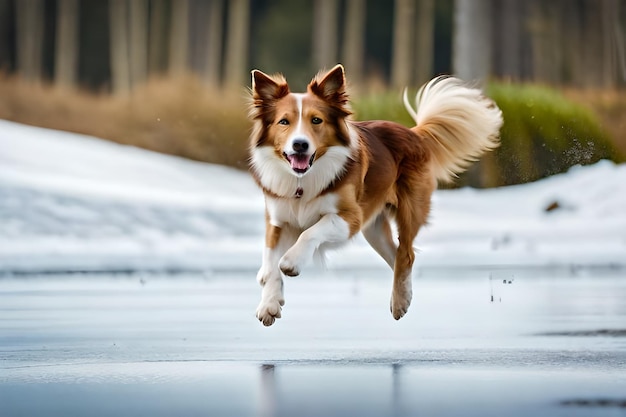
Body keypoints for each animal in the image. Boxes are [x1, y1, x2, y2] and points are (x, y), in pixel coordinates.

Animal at [246, 65, 500, 324]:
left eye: (316, 120)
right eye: (284, 122)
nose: (300, 145)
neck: (302, 180)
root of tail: (414, 132)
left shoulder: (350, 218)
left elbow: (309, 233)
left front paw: (291, 262)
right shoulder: (278, 220)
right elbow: (270, 262)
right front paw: (269, 303)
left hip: (409, 210)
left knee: (406, 254)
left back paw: (399, 302)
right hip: (374, 229)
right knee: (395, 256)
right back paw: (404, 295)